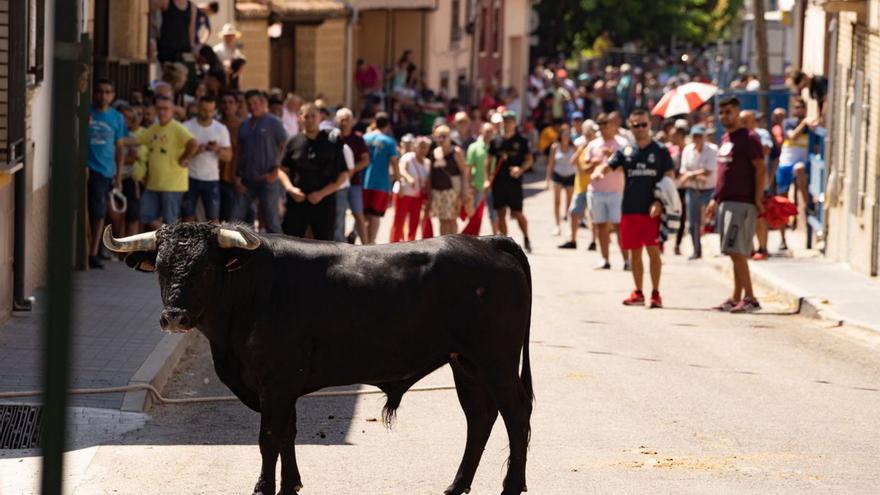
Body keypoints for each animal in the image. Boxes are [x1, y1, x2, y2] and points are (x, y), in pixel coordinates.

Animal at [100, 224, 532, 495]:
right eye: (160, 266)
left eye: (205, 267)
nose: (174, 317)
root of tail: (489, 241)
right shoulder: (284, 385)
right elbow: (287, 433)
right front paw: (290, 484)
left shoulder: (275, 382)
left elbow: (268, 437)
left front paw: (263, 488)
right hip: (466, 365)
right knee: (480, 418)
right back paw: (457, 485)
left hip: (496, 361)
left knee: (516, 415)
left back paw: (511, 486)